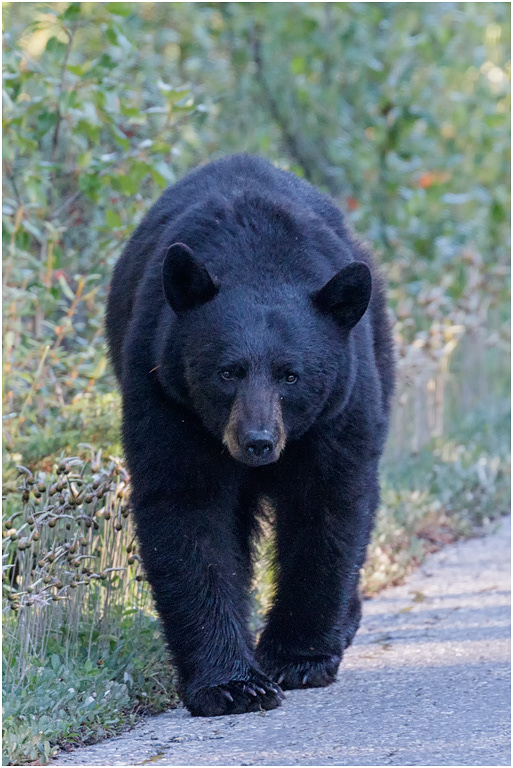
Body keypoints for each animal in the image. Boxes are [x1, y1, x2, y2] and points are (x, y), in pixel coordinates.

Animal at [105, 153, 395, 717]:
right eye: (227, 372)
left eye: (291, 375)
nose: (257, 441)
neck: (257, 263)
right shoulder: (165, 393)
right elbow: (187, 510)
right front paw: (233, 684)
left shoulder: (339, 407)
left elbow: (328, 505)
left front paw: (297, 658)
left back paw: (345, 622)